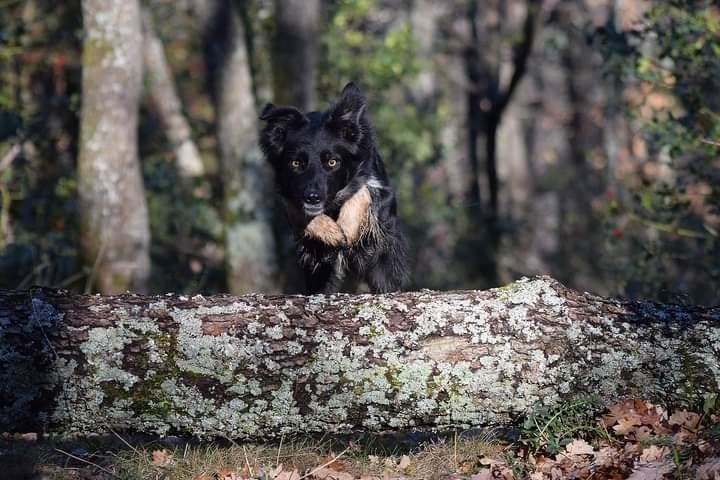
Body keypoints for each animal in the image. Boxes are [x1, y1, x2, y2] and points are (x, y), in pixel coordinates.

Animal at [260, 82, 408, 292]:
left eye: (332, 162)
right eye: (296, 163)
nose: (312, 198)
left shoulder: (381, 202)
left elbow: (363, 193)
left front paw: (347, 228)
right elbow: (301, 217)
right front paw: (331, 233)